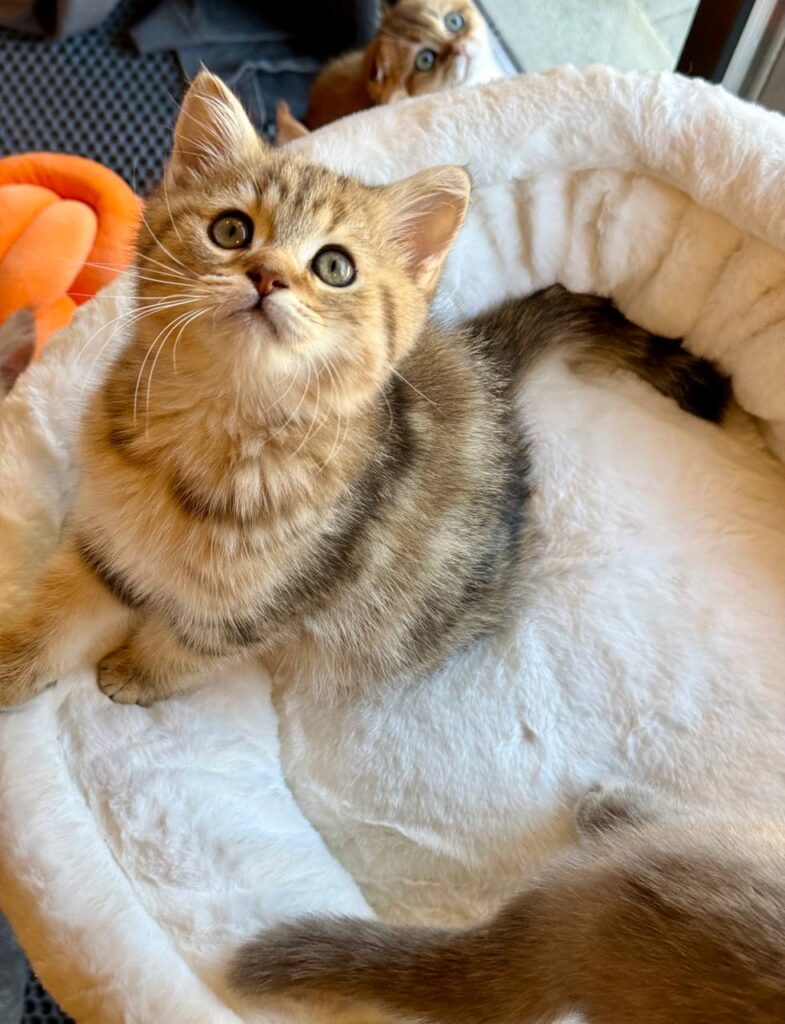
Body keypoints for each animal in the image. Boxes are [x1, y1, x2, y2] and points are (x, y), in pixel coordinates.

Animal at [0, 72, 728, 708]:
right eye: (231, 230)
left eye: (334, 267)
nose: (267, 276)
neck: (216, 424)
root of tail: (484, 363)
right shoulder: (106, 542)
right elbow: (63, 609)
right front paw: (15, 664)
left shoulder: (269, 600)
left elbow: (190, 648)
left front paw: (135, 672)